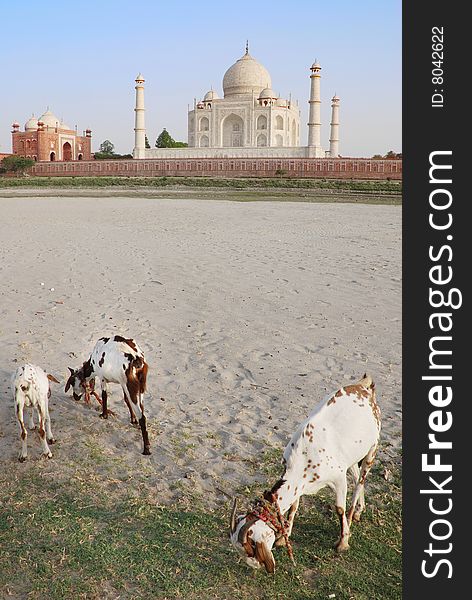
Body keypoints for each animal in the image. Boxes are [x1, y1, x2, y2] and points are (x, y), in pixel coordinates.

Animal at [230, 372, 382, 576]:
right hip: (353, 457)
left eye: (252, 547)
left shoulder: (338, 478)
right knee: (358, 477)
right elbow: (294, 505)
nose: (258, 567)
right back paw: (358, 511)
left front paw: (343, 542)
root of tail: (364, 386)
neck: (305, 455)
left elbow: (339, 509)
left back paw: (352, 516)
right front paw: (283, 537)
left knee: (360, 482)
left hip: (372, 448)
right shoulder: (298, 483)